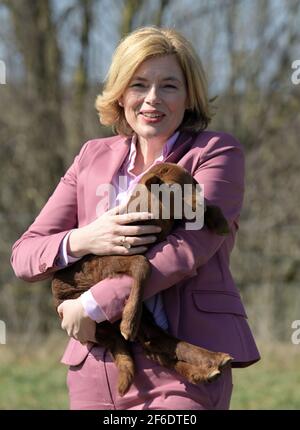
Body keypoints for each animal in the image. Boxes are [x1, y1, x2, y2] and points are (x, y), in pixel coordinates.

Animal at [52, 162, 233, 396]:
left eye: (195, 185)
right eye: (176, 188)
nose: (202, 202)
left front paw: (221, 223)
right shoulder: (102, 260)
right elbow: (142, 263)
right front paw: (129, 323)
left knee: (156, 343)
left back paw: (213, 362)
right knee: (154, 344)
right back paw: (205, 366)